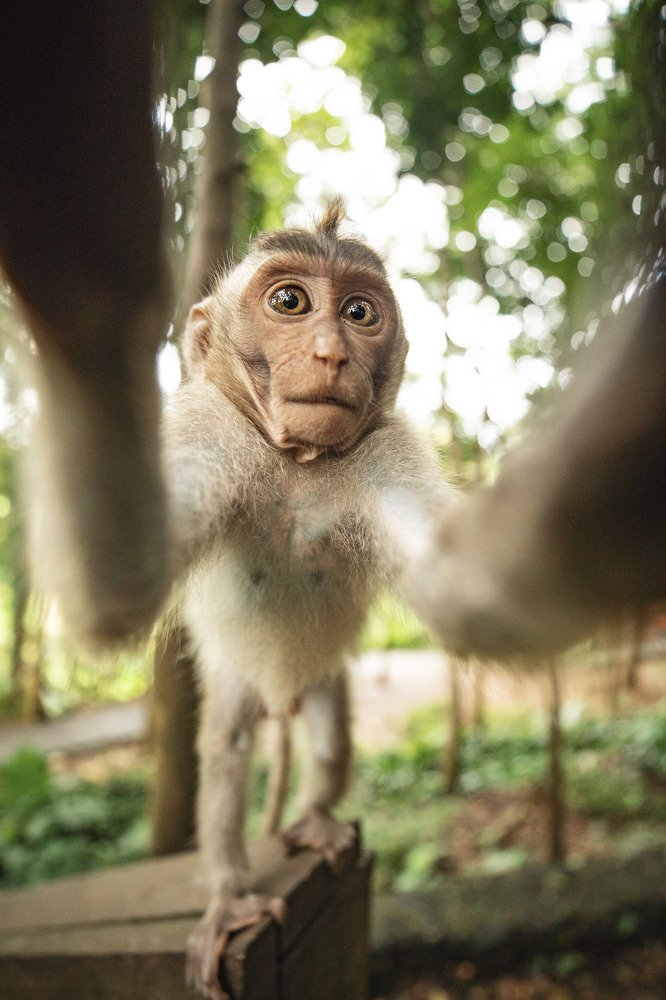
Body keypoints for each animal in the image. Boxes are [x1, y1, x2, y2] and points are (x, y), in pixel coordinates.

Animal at [160, 201, 453, 998]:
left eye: (359, 312)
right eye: (289, 302)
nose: (330, 354)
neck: (298, 462)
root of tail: (281, 693)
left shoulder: (387, 458)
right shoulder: (210, 435)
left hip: (320, 682)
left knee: (329, 730)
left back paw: (315, 817)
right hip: (240, 680)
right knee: (226, 748)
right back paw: (230, 897)